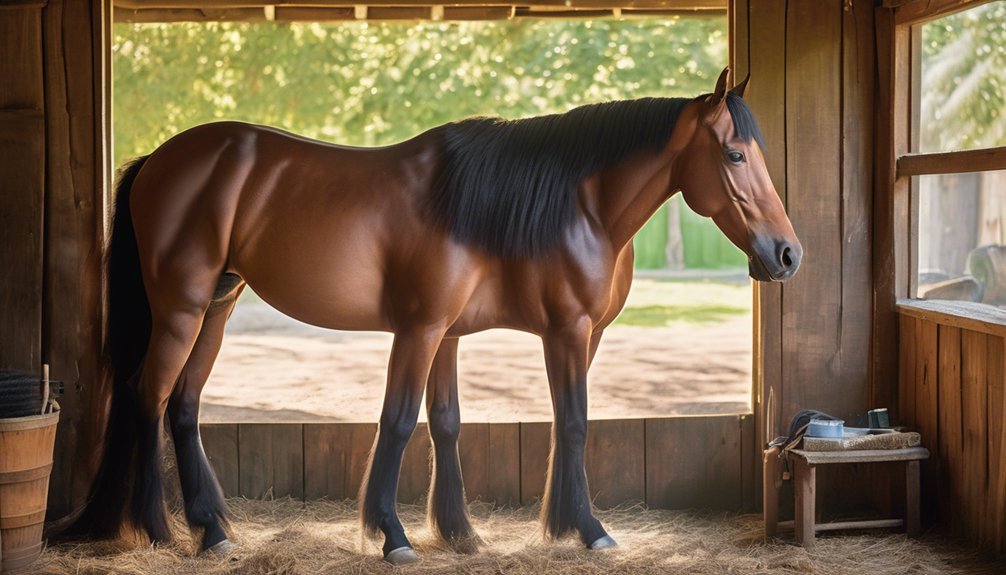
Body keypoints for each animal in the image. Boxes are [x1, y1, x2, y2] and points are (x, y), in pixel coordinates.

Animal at [66, 69, 800, 562]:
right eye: (735, 154)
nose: (786, 253)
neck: (574, 206)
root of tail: (161, 160)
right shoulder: (474, 331)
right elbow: (415, 421)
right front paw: (398, 534)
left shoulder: (458, 335)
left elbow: (453, 424)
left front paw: (465, 532)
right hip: (182, 309)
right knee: (148, 396)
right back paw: (160, 528)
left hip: (216, 307)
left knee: (183, 403)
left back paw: (211, 528)